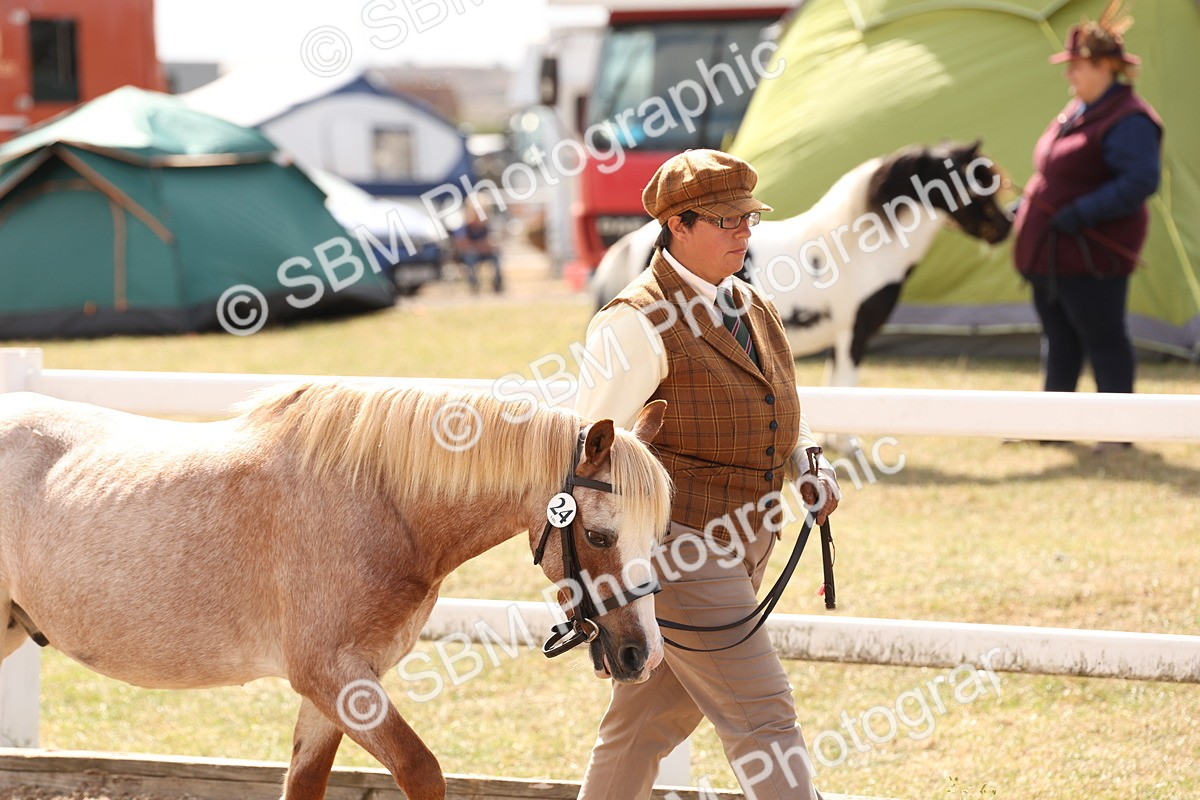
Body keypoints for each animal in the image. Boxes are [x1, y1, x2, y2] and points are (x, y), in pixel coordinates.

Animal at [0, 383, 672, 800]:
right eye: (599, 535)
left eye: (661, 532)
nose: (642, 655)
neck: (379, 501)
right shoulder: (333, 676)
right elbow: (422, 772)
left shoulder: (339, 687)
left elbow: (305, 783)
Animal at [591, 140, 1013, 389]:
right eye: (976, 182)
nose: (1007, 226)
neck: (865, 249)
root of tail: (633, 241)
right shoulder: (855, 333)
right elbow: (845, 386)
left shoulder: (841, 337)